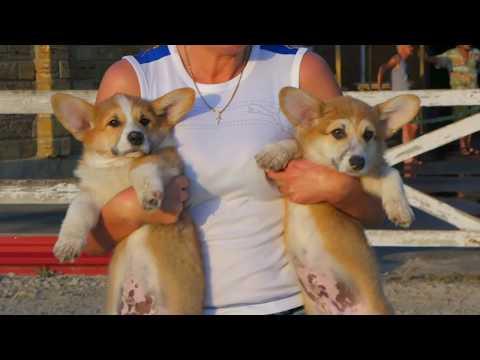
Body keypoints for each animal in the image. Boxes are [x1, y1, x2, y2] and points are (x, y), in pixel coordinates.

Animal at [51, 88, 204, 314]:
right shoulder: (91, 195)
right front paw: (68, 244)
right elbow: (77, 211)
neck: (119, 164)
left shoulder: (167, 161)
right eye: (114, 122)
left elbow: (143, 164)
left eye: (145, 120)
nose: (136, 136)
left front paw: (149, 194)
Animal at [255, 87, 420, 316]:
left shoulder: (365, 177)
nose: (358, 162)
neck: (326, 166)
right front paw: (274, 152)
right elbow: (294, 142)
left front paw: (400, 208)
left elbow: (392, 173)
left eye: (369, 135)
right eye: (338, 133)